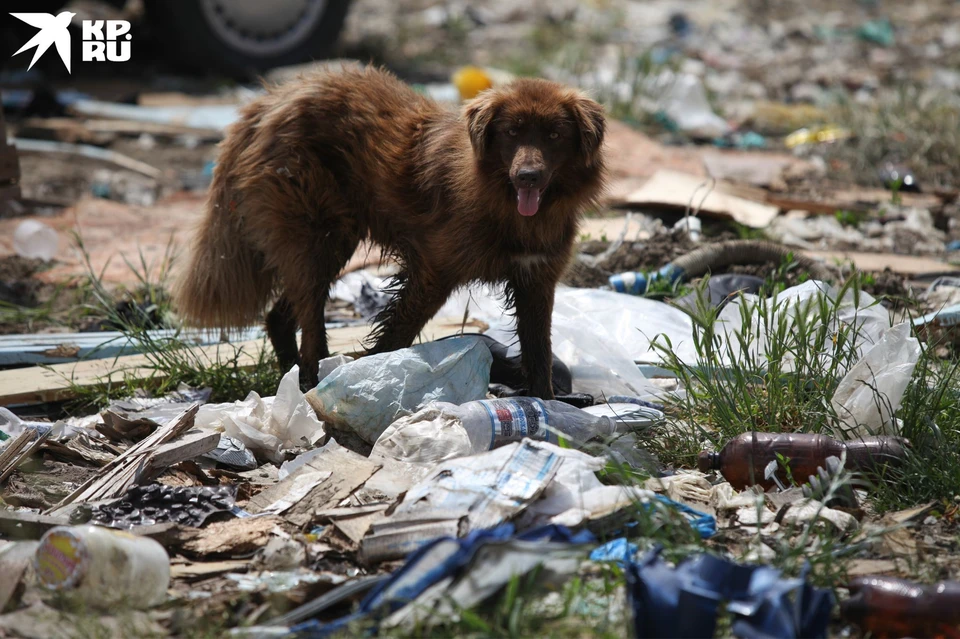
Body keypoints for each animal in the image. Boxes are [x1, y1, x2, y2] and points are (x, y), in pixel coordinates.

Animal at [176, 63, 604, 396]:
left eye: (554, 135)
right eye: (512, 132)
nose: (528, 177)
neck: (508, 208)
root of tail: (269, 99)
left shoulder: (536, 280)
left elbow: (539, 353)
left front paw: (547, 406)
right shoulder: (432, 274)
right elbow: (396, 333)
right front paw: (370, 378)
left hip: (324, 243)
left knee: (279, 317)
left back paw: (294, 379)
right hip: (319, 238)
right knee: (309, 326)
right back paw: (310, 384)